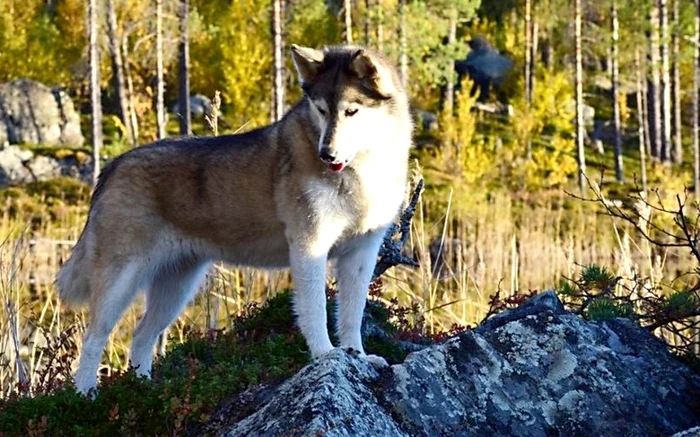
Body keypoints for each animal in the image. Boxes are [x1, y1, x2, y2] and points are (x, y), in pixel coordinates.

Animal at [58, 43, 416, 392]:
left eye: (351, 111)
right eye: (321, 110)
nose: (325, 154)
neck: (363, 169)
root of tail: (113, 166)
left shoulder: (362, 252)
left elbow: (352, 313)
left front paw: (358, 354)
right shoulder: (309, 246)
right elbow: (315, 309)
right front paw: (326, 355)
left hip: (177, 286)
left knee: (141, 336)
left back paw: (144, 389)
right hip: (121, 280)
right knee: (93, 339)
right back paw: (87, 396)